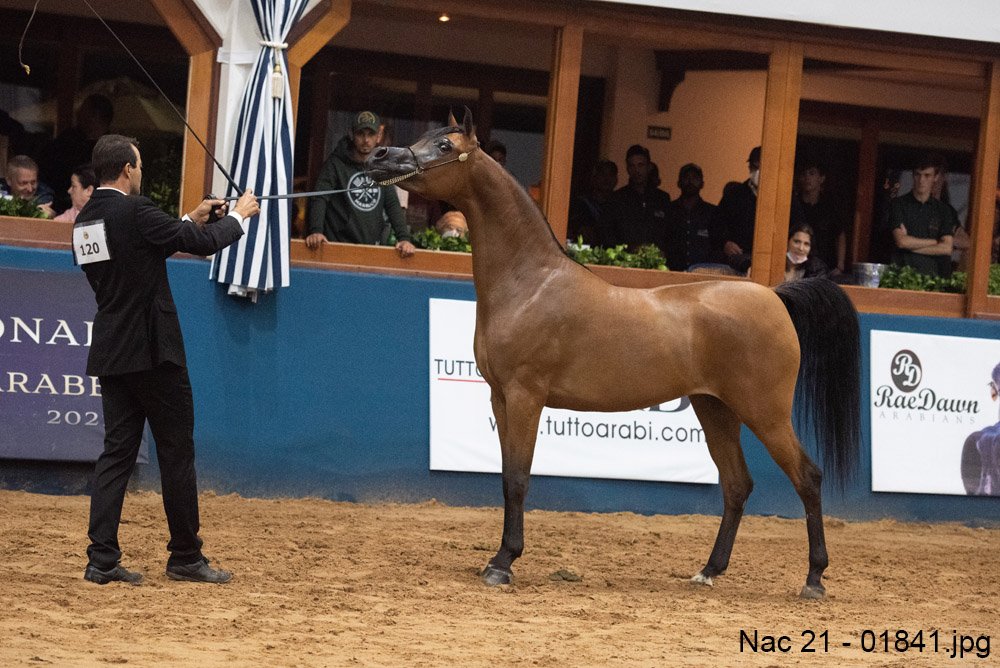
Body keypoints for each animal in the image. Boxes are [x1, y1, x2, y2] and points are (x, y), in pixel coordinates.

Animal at [368, 109, 860, 600]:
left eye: (445, 146)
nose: (379, 157)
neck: (531, 283)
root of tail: (775, 296)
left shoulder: (526, 396)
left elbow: (519, 479)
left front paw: (503, 563)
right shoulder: (500, 397)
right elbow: (506, 476)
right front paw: (498, 557)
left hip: (765, 412)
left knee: (807, 477)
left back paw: (814, 578)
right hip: (715, 408)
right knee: (737, 483)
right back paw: (709, 570)